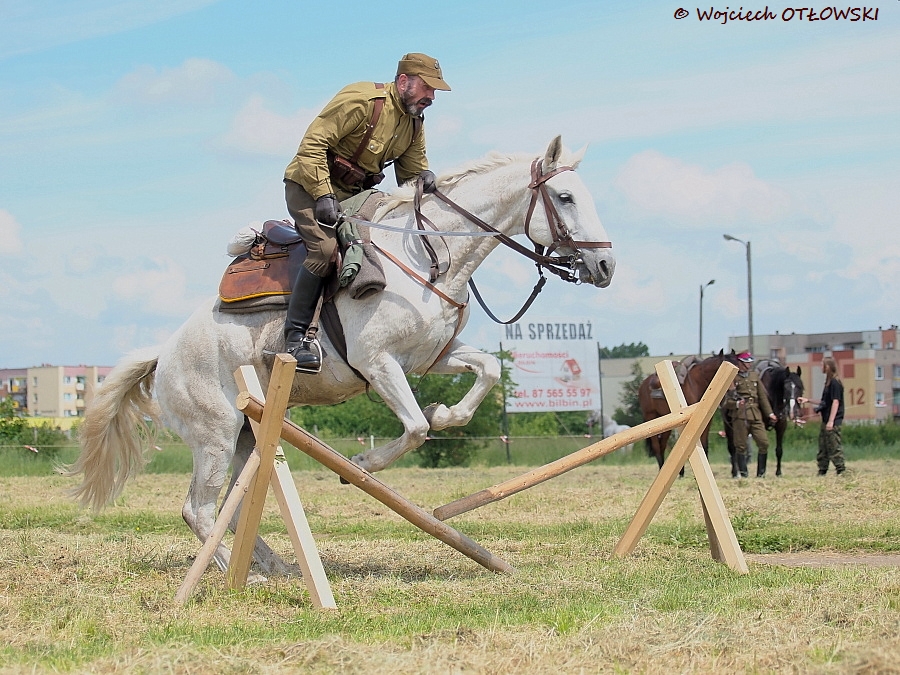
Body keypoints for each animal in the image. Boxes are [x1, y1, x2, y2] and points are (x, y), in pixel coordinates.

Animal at [67, 136, 616, 576]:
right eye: (564, 197)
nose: (606, 266)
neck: (428, 256)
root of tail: (164, 355)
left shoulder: (431, 355)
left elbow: (484, 374)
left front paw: (446, 411)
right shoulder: (378, 362)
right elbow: (415, 427)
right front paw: (362, 463)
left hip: (247, 434)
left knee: (233, 505)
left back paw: (276, 566)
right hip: (214, 433)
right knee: (197, 510)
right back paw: (232, 570)